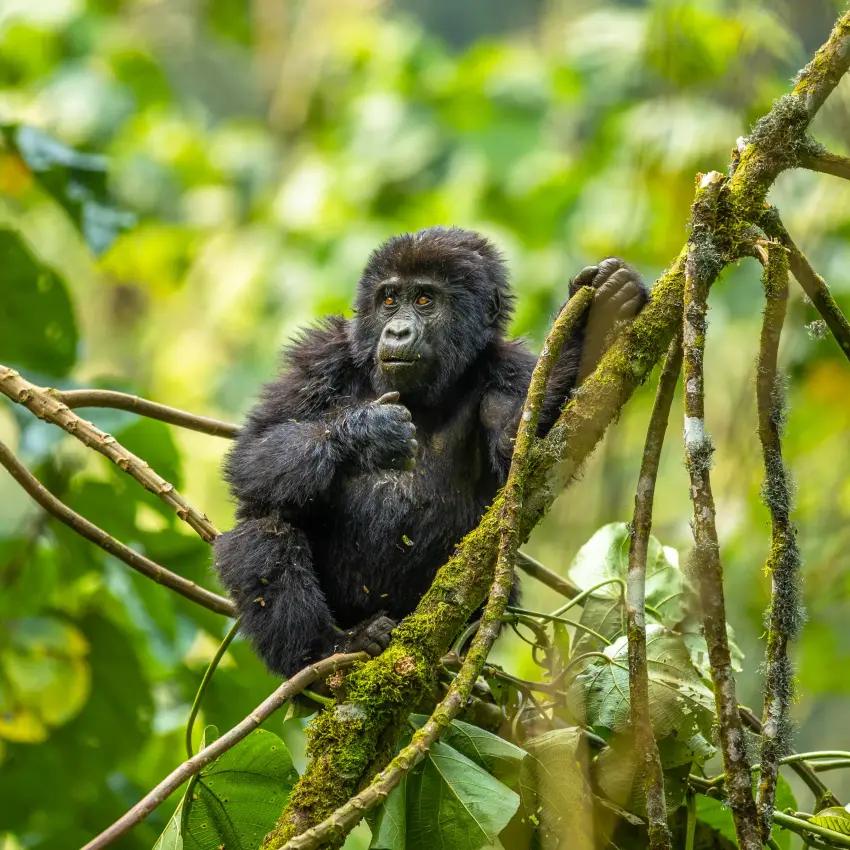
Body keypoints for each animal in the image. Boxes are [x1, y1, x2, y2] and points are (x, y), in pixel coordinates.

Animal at [214, 227, 648, 677]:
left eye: (425, 300)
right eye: (389, 299)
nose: (397, 332)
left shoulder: (509, 368)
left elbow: (527, 452)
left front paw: (590, 323)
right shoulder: (320, 355)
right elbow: (255, 452)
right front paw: (369, 432)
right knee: (263, 527)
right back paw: (328, 649)